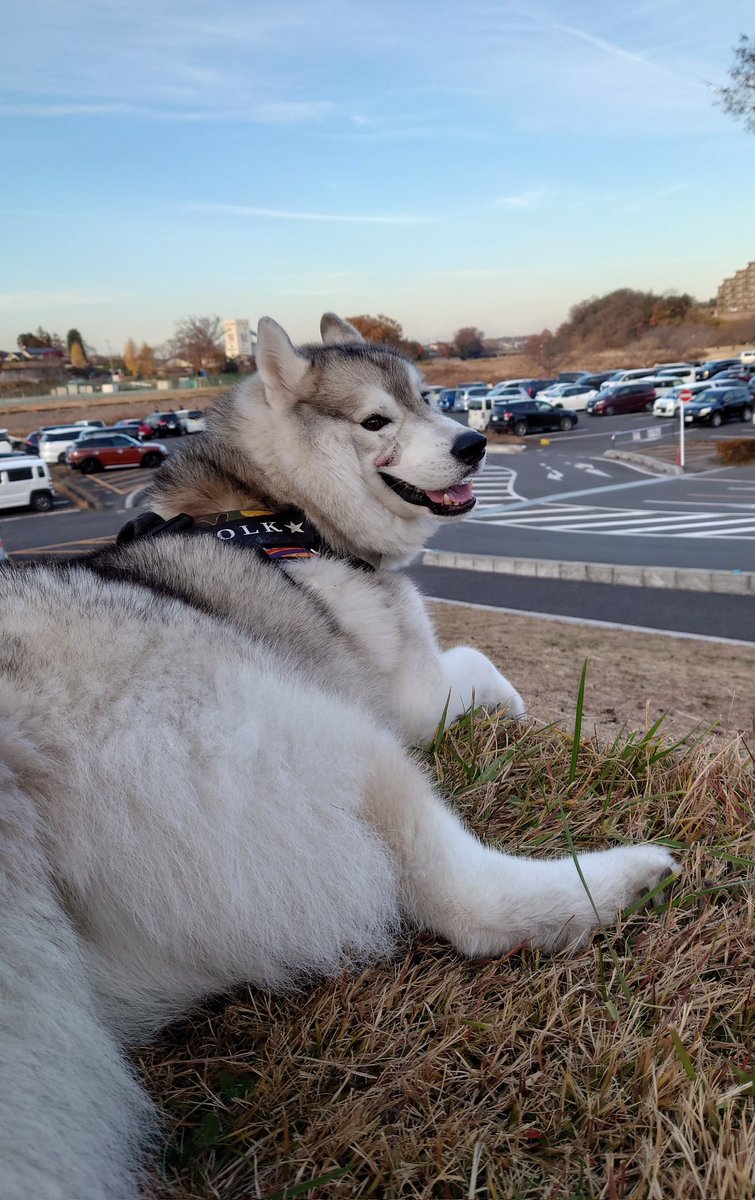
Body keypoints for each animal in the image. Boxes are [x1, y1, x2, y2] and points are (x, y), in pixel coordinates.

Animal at [0, 314, 672, 1195]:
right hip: (328, 743)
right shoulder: (412, 699)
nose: (473, 444)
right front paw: (524, 710)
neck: (285, 511)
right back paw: (624, 878)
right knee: (467, 902)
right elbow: (481, 663)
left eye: (428, 399)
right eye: (376, 422)